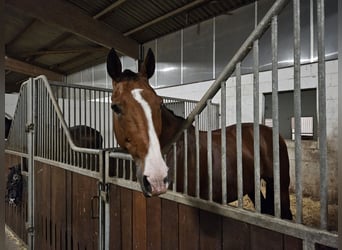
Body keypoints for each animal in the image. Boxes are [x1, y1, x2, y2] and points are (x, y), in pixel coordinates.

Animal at [106, 48, 292, 219]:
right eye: (115, 107)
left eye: (159, 103)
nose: (157, 177)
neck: (175, 149)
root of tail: (270, 131)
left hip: (280, 187)